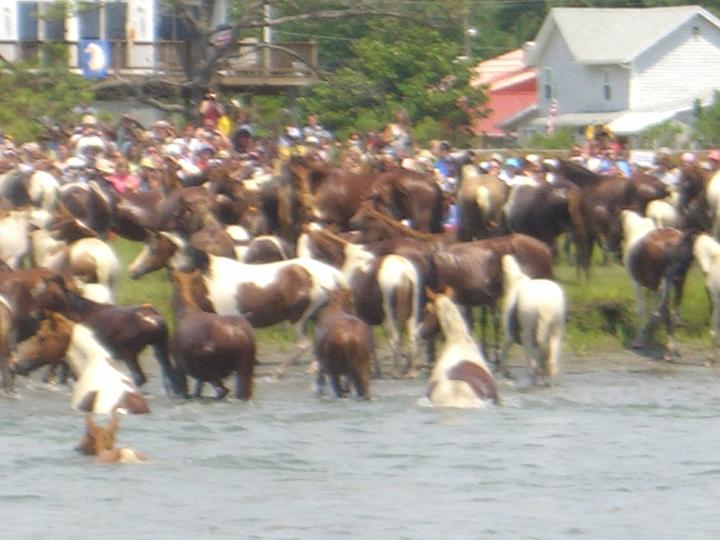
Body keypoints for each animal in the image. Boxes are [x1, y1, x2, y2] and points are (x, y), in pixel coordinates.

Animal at [498, 255, 564, 386]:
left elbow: (504, 350)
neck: (516, 280)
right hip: (555, 328)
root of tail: (544, 305)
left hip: (528, 330)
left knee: (532, 357)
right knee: (550, 359)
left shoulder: (510, 333)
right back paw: (549, 381)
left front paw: (505, 372)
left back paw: (535, 378)